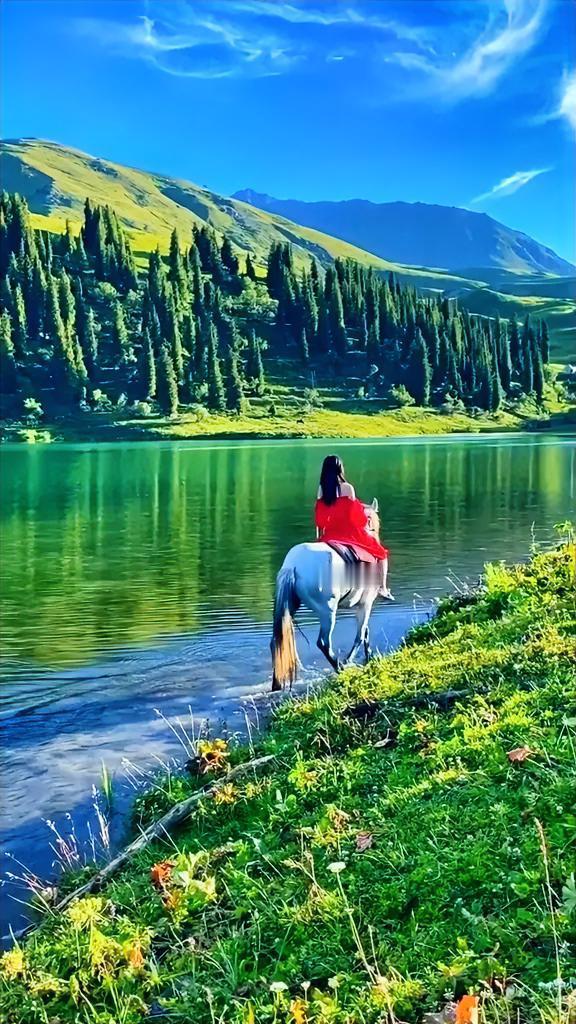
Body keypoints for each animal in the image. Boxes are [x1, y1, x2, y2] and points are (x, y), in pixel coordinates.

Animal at [270, 501, 384, 690]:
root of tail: (293, 565)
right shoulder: (366, 603)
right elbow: (360, 635)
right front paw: (351, 660)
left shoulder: (362, 604)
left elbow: (365, 631)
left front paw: (369, 657)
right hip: (327, 611)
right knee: (323, 642)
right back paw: (340, 667)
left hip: (290, 606)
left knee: (276, 642)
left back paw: (277, 683)